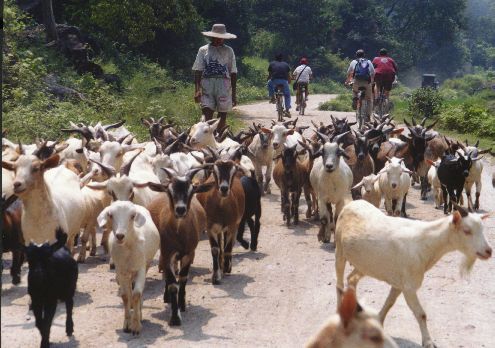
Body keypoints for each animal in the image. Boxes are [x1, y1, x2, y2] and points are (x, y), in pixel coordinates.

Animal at [97, 200, 159, 334]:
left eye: (132, 216)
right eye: (110, 215)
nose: (120, 236)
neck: (128, 247)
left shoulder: (140, 268)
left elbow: (137, 294)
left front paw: (136, 325)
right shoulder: (121, 270)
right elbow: (125, 296)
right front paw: (127, 324)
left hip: (145, 264)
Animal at [146, 167, 214, 324]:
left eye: (192, 190)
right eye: (170, 191)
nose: (180, 209)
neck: (179, 234)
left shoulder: (189, 253)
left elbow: (182, 279)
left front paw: (181, 306)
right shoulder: (167, 252)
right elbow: (172, 284)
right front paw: (175, 318)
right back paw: (167, 298)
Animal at [336, 200, 494, 348]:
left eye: (482, 229)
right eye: (466, 230)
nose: (488, 251)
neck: (424, 243)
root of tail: (352, 203)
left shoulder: (399, 283)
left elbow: (389, 303)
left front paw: (379, 323)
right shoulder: (409, 287)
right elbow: (421, 314)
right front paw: (428, 342)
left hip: (365, 264)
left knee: (352, 279)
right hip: (340, 249)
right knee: (339, 284)